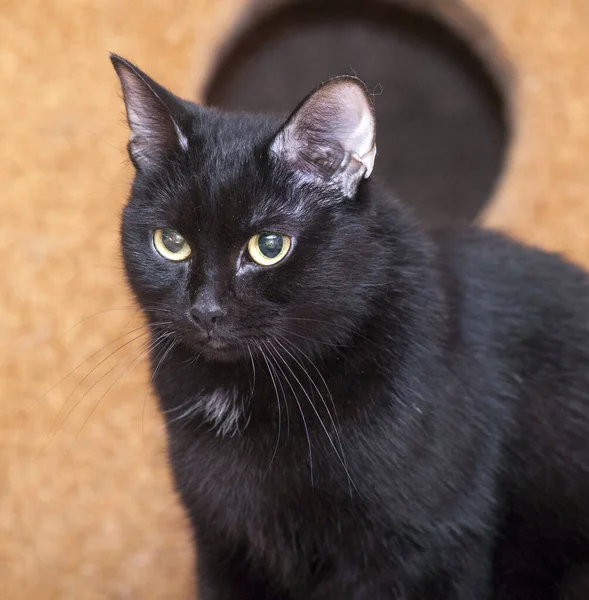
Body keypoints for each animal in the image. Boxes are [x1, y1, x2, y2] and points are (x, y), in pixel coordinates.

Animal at [110, 54, 588, 596]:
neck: (248, 393)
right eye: (170, 242)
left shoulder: (431, 547)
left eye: (269, 246)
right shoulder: (224, 543)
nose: (206, 310)